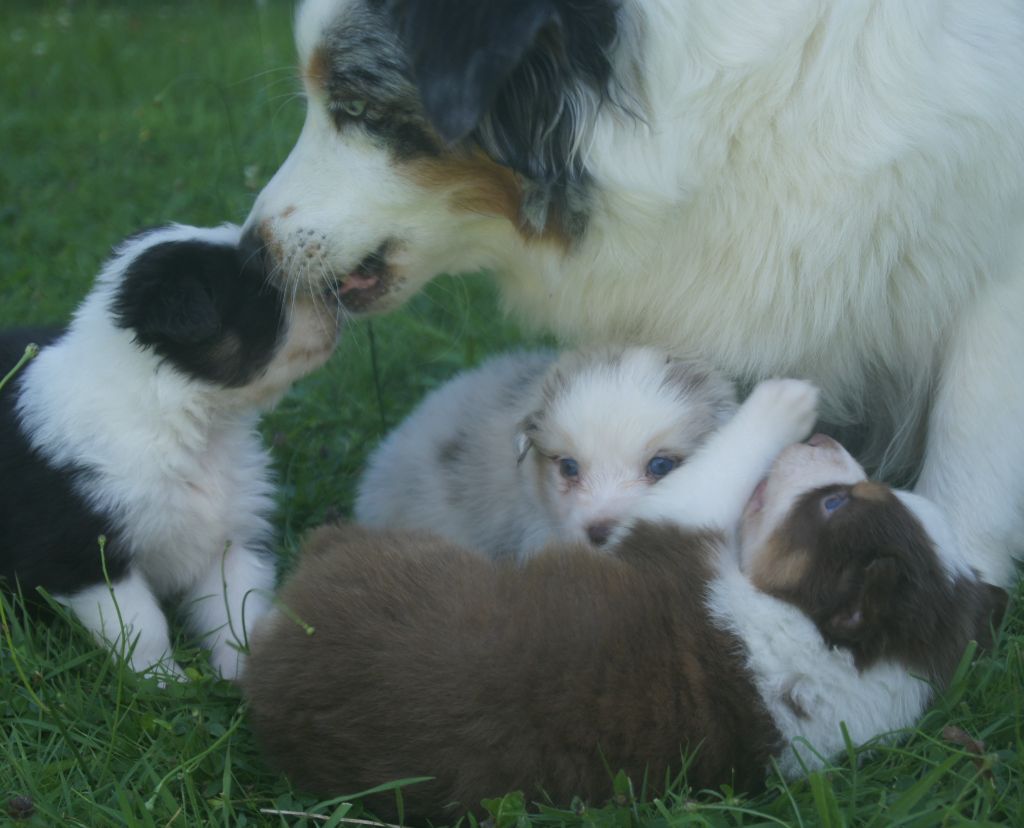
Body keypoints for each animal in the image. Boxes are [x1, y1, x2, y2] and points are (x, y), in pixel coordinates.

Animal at [1, 224, 344, 679]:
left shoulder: (232, 536)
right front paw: (163, 680)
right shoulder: (86, 556)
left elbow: (238, 607)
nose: (336, 298)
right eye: (260, 291)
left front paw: (243, 673)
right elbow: (140, 625)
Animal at [243, 380, 1003, 818]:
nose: (823, 437)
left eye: (837, 503)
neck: (841, 653)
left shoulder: (668, 533)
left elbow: (710, 472)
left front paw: (785, 399)